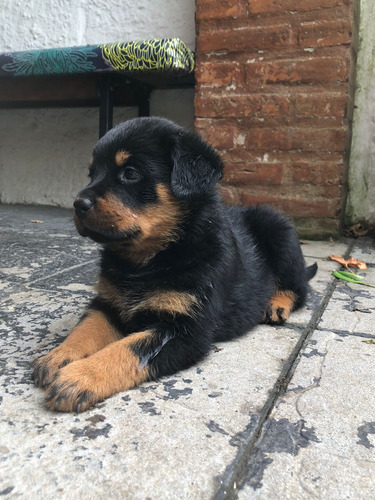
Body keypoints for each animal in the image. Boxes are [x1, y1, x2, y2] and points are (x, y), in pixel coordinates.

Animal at [33, 118, 318, 414]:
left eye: (131, 173)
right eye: (91, 174)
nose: (78, 204)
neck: (149, 260)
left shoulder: (186, 330)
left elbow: (129, 348)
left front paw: (81, 377)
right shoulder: (108, 303)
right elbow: (86, 327)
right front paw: (60, 355)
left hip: (278, 229)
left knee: (300, 287)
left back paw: (276, 304)